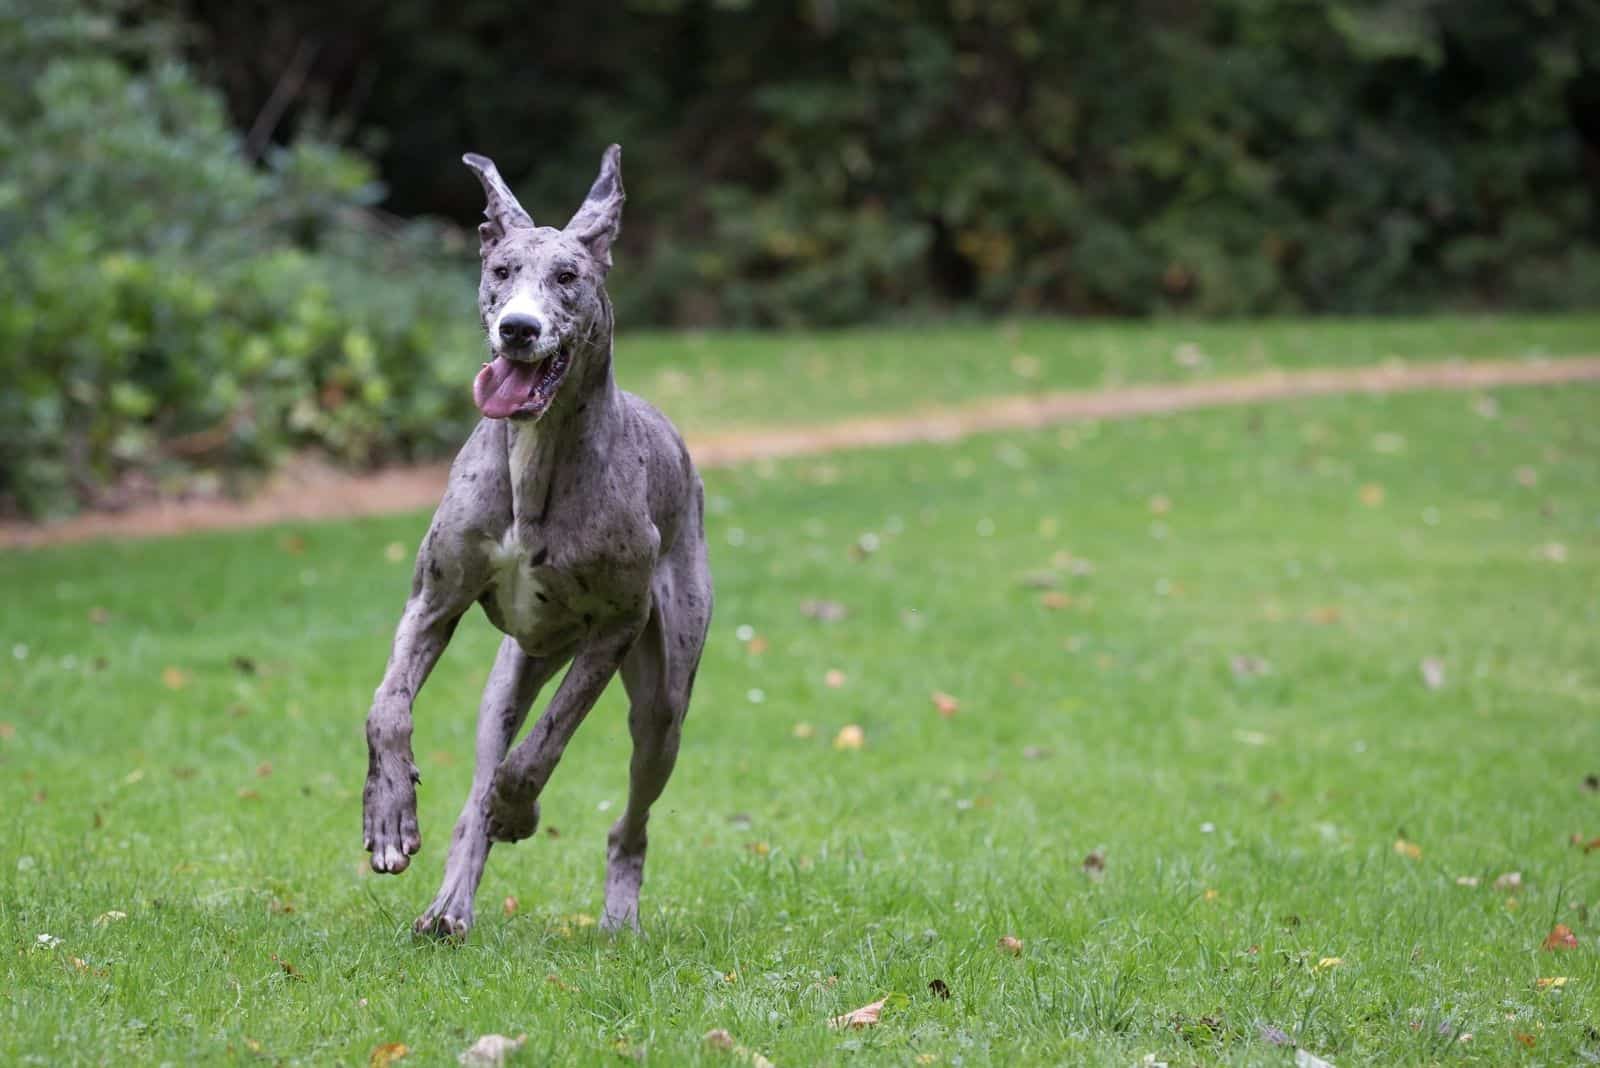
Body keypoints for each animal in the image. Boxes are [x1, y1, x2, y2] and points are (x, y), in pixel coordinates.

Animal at [366, 146, 716, 940]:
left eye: (568, 277)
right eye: (500, 270)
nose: (518, 330)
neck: (536, 453)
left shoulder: (616, 627)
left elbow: (544, 745)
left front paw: (518, 808)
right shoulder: (432, 602)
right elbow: (387, 707)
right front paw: (390, 815)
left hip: (664, 704)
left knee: (629, 820)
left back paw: (615, 910)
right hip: (509, 676)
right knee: (480, 776)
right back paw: (450, 906)